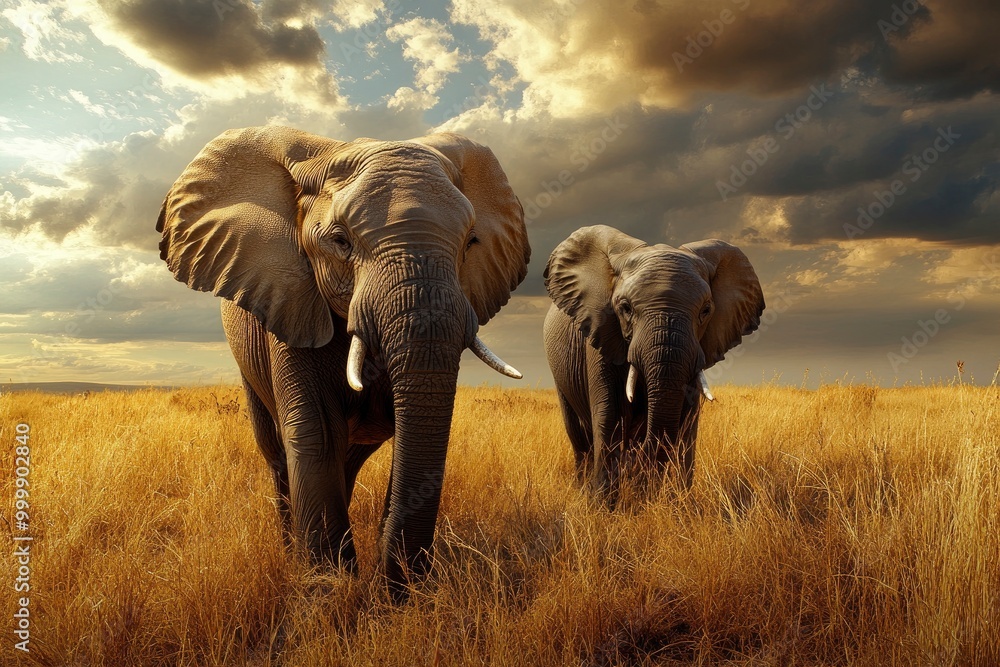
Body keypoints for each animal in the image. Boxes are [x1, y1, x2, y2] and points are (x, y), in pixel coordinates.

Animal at [156, 126, 529, 596]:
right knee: (278, 452)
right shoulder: (289, 296)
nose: (396, 586)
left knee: (350, 458)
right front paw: (328, 586)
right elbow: (317, 430)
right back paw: (291, 548)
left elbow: (408, 429)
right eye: (340, 242)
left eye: (470, 244)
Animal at [543, 225, 764, 497]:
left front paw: (676, 501)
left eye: (706, 311)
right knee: (580, 439)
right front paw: (601, 504)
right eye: (625, 308)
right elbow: (610, 416)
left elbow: (687, 423)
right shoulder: (600, 332)